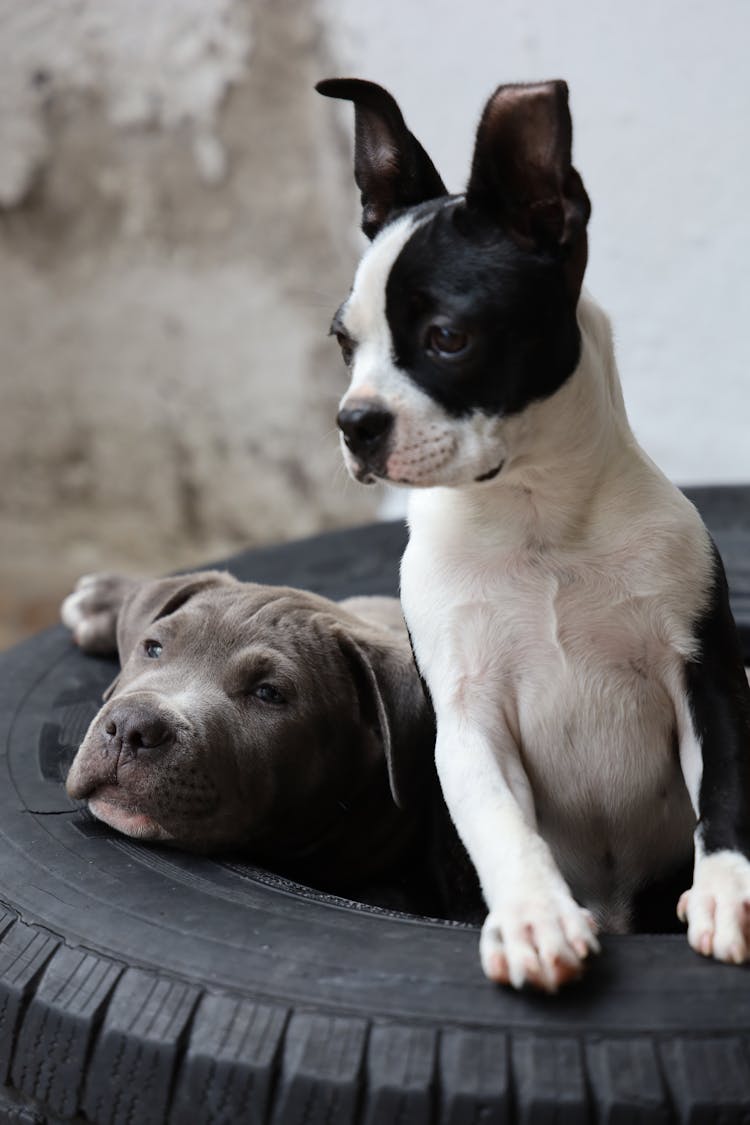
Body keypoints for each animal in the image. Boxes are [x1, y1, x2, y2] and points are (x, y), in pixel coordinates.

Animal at [319, 79, 750, 990]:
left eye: (448, 339)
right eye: (344, 345)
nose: (355, 421)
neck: (536, 516)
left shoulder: (707, 679)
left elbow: (728, 793)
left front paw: (730, 892)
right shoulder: (468, 715)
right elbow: (497, 817)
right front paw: (532, 917)